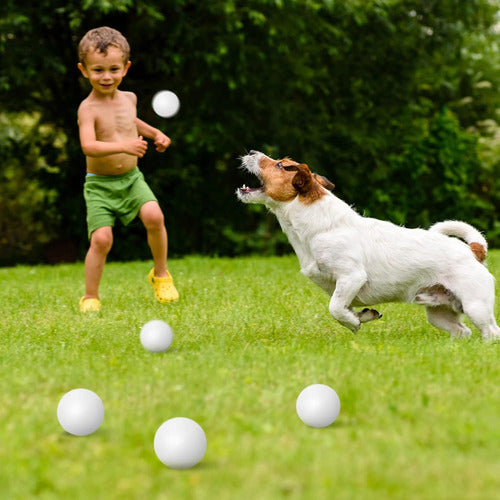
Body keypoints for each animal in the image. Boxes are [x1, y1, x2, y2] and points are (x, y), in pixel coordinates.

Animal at [235, 150, 500, 342]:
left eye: (281, 165)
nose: (251, 150)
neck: (319, 225)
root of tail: (474, 251)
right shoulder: (342, 287)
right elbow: (343, 308)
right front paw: (363, 316)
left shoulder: (351, 277)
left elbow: (335, 308)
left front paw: (354, 323)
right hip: (439, 312)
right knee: (462, 331)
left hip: (476, 306)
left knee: (491, 332)